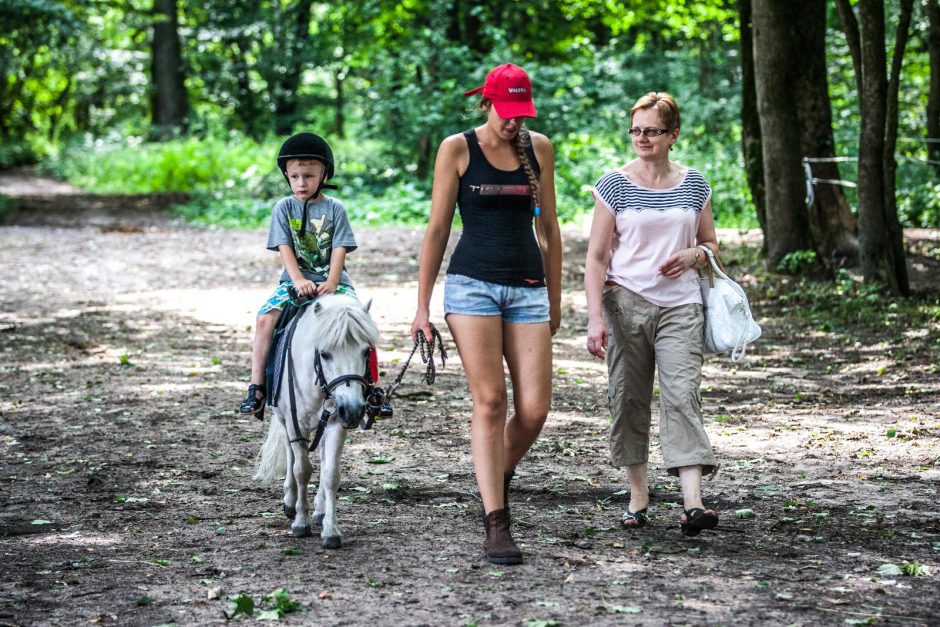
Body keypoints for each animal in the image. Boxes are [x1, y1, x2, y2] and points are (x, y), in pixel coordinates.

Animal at [255, 296, 380, 548]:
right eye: (324, 354)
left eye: (366, 352)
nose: (353, 409)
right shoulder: (295, 424)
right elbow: (301, 469)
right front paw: (300, 524)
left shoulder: (336, 424)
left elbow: (331, 474)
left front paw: (331, 531)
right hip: (283, 419)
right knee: (290, 454)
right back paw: (290, 501)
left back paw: (320, 511)